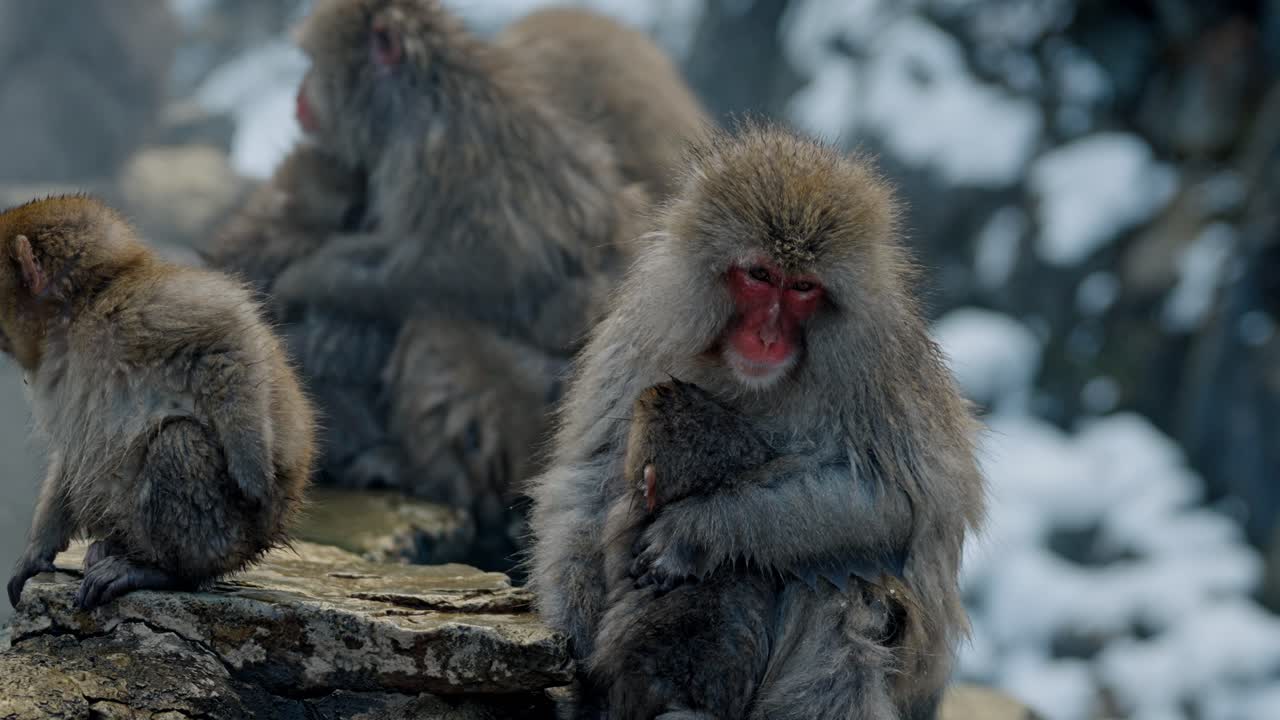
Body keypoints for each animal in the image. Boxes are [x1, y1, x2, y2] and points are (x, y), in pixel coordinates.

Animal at [2, 195, 315, 611]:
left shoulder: (143, 309)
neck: (80, 311)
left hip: (233, 537)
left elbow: (230, 339)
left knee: (177, 441)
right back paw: (114, 548)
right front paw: (37, 551)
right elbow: (70, 451)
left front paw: (254, 471)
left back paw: (165, 570)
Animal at [526, 122, 985, 719]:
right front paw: (574, 642)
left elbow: (897, 500)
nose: (767, 336)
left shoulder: (879, 360)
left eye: (803, 287)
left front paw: (699, 530)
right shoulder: (642, 326)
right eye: (760, 275)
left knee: (842, 579)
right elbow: (589, 474)